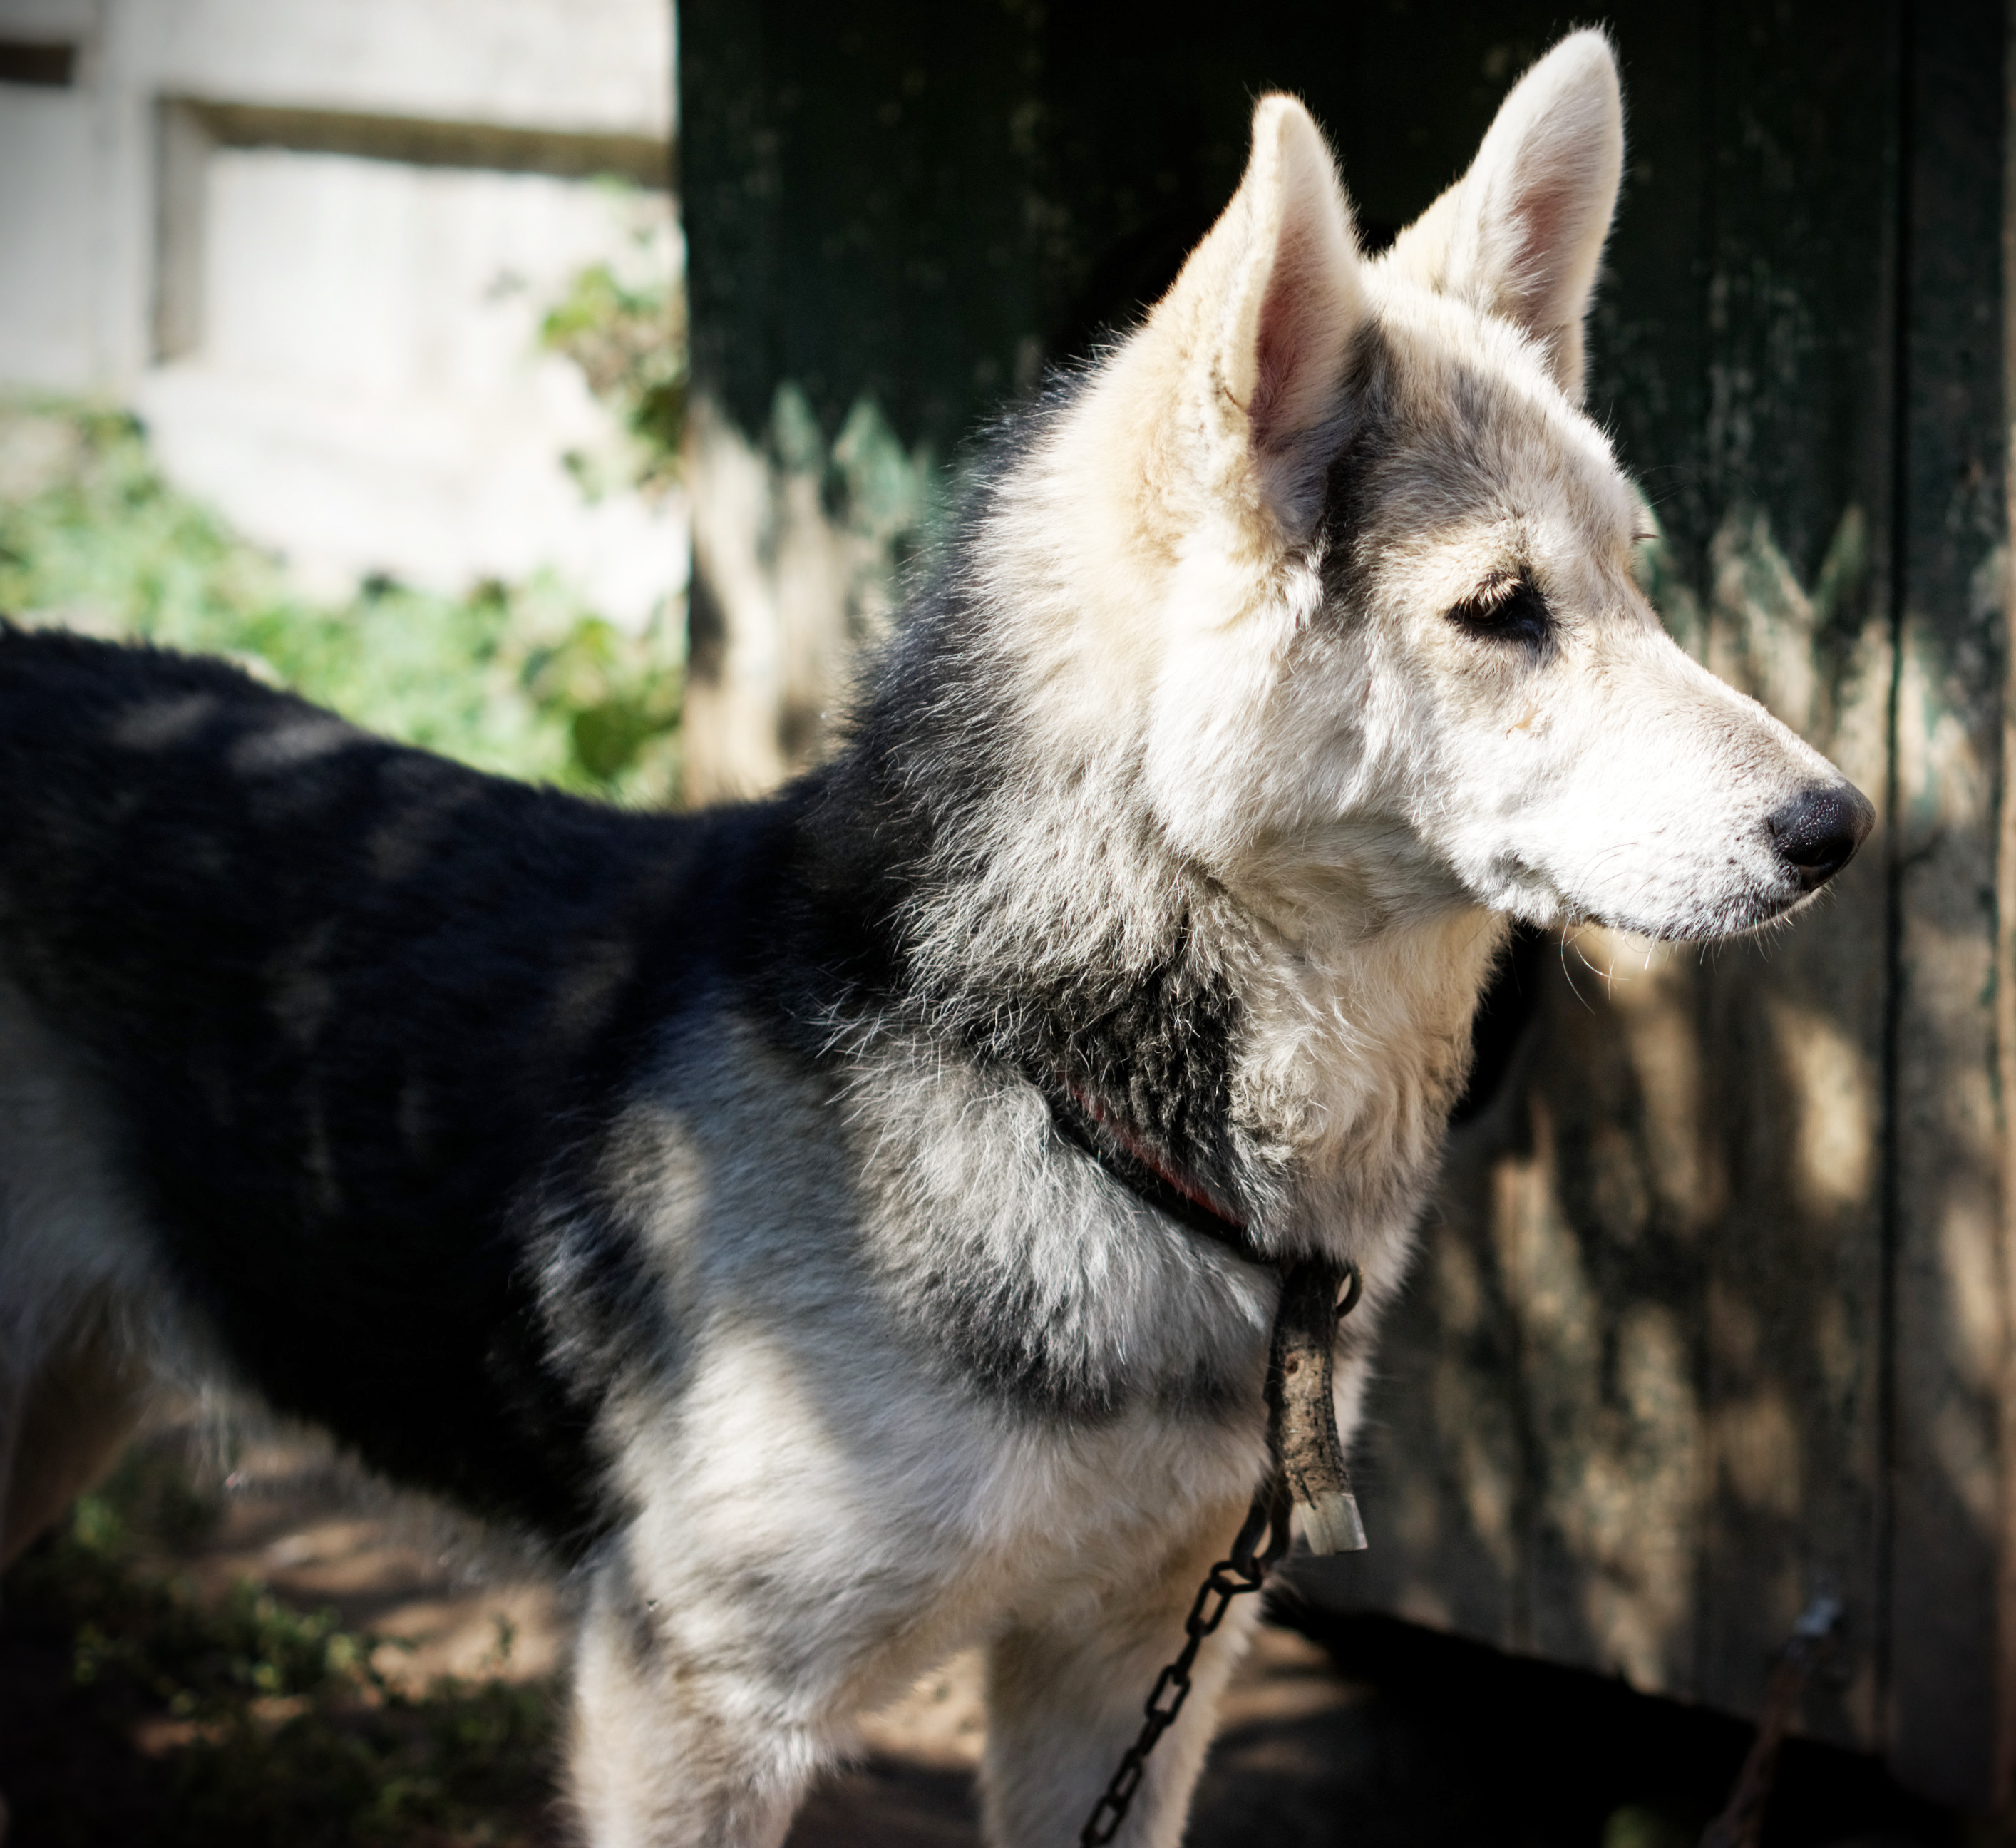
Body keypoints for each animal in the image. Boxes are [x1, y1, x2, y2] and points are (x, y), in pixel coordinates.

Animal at [0, 30, 1869, 1848]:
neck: (1054, 1079)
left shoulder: (1125, 1680)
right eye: (1500, 611)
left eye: (1635, 580)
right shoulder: (693, 1708)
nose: (1838, 828)